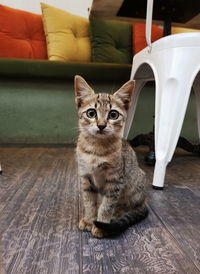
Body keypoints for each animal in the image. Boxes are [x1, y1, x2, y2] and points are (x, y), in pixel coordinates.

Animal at [74, 75, 148, 238]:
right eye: (91, 113)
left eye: (113, 114)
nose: (101, 125)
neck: (96, 149)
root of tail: (144, 201)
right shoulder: (85, 177)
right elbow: (89, 202)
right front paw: (90, 220)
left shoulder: (115, 180)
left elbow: (107, 205)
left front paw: (101, 224)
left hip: (133, 185)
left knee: (127, 207)